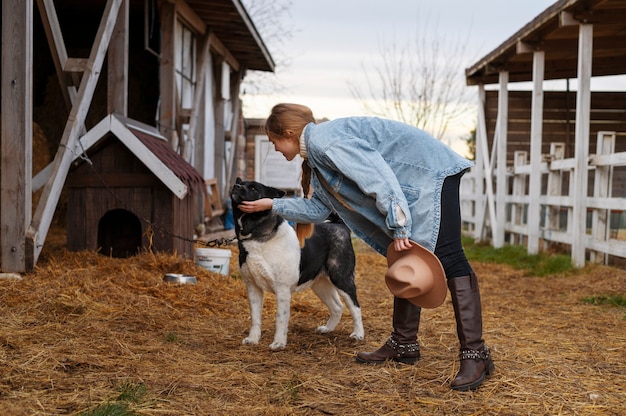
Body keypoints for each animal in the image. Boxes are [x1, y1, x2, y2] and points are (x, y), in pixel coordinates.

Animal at [230, 177, 364, 350]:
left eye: (253, 188)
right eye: (241, 183)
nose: (235, 186)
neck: (258, 237)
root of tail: (338, 225)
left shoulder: (282, 290)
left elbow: (280, 319)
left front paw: (279, 343)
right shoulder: (253, 288)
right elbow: (255, 318)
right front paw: (253, 339)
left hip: (341, 279)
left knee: (355, 307)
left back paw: (358, 334)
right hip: (320, 284)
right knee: (337, 307)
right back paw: (328, 328)